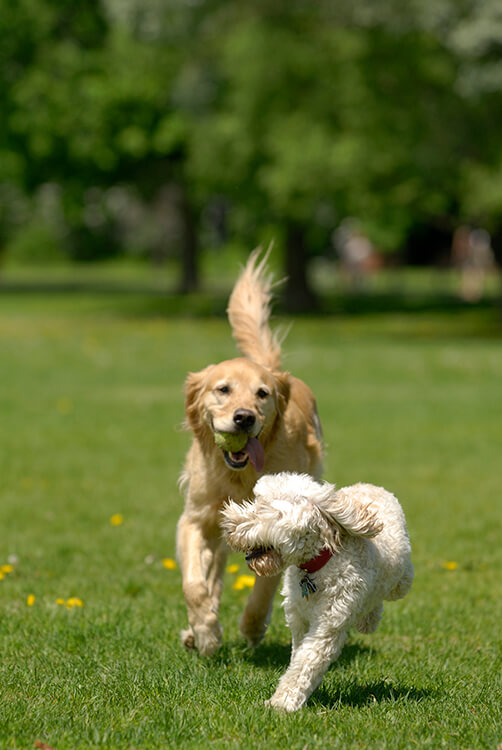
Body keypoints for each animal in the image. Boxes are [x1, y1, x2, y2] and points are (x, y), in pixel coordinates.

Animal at [178, 250, 324, 656]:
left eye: (262, 394)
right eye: (223, 389)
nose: (244, 418)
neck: (239, 475)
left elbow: (264, 586)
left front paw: (252, 626)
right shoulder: (196, 519)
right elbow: (194, 583)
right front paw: (206, 632)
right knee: (210, 574)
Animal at [222, 472, 414, 712]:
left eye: (265, 509)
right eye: (256, 500)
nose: (228, 525)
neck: (316, 566)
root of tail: (370, 485)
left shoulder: (328, 626)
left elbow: (306, 662)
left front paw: (281, 703)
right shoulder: (298, 619)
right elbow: (298, 657)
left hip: (401, 579)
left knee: (388, 590)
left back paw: (368, 619)